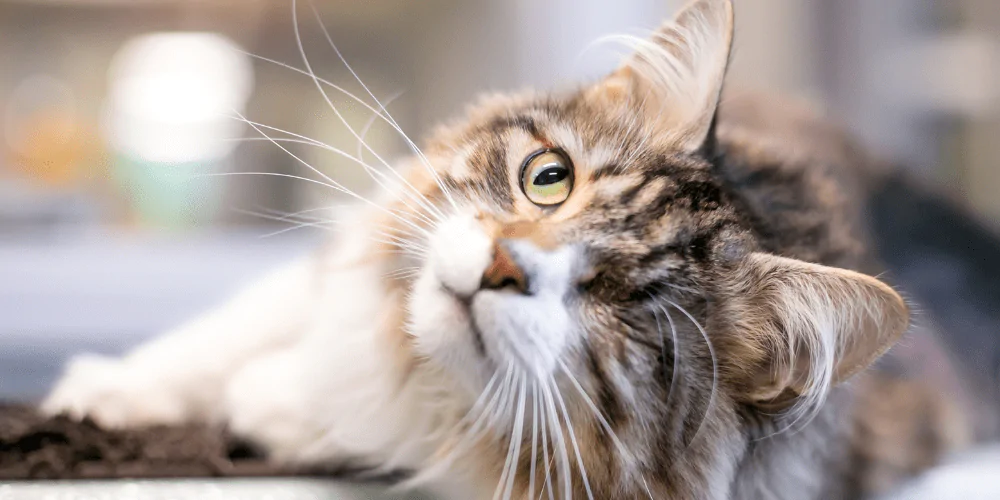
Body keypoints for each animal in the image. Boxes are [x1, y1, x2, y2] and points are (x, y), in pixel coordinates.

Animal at [37, 0, 976, 500]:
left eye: (621, 303)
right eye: (548, 179)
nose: (501, 268)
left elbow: (350, 415)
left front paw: (275, 403)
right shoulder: (359, 247)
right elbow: (214, 339)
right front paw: (105, 395)